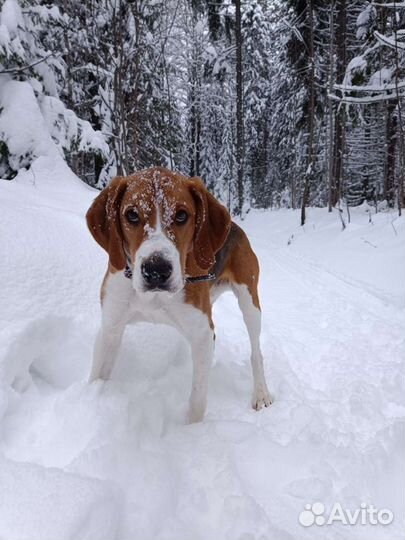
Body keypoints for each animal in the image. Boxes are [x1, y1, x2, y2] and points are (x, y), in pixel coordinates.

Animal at [87, 166, 274, 422]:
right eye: (131, 214)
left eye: (182, 215)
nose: (156, 270)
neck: (154, 298)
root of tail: (234, 225)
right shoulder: (110, 328)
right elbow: (96, 377)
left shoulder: (202, 334)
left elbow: (197, 401)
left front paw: (192, 430)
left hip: (250, 303)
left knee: (256, 352)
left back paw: (261, 393)